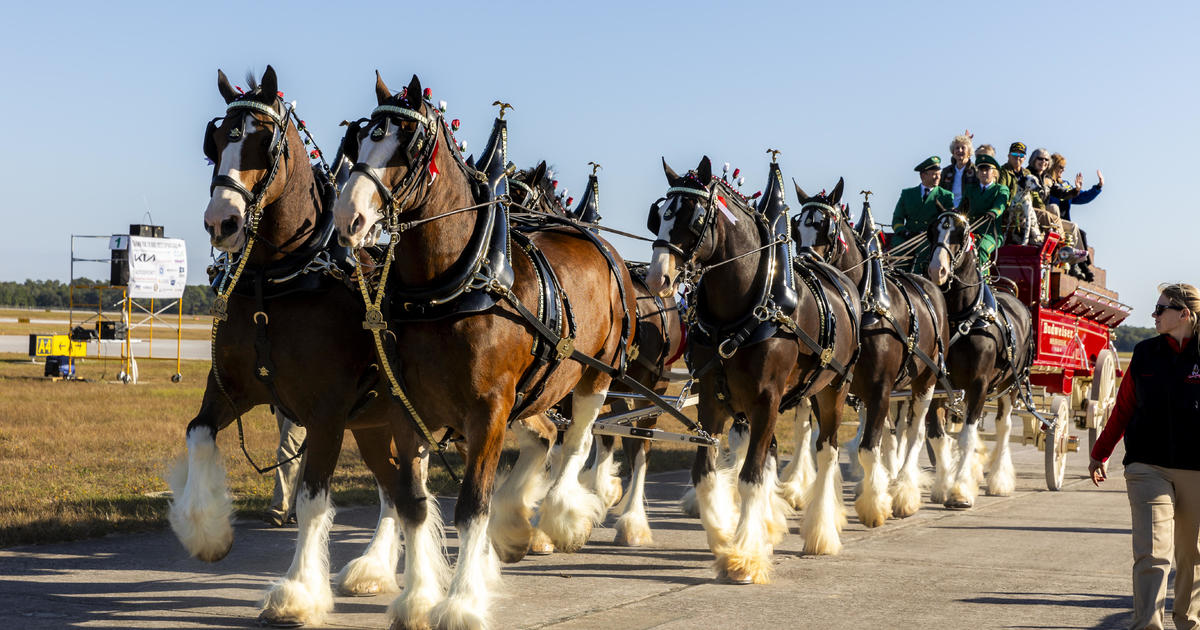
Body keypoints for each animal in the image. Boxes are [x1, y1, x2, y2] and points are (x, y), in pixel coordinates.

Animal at [336, 73, 638, 628]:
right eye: (361, 139)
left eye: (408, 146)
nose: (349, 217)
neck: (452, 284)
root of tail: (600, 245)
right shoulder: (407, 408)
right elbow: (410, 502)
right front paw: (416, 598)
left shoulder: (489, 409)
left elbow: (471, 505)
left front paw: (460, 603)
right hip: (533, 393)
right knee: (545, 438)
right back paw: (515, 527)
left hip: (595, 377)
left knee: (576, 441)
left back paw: (561, 517)